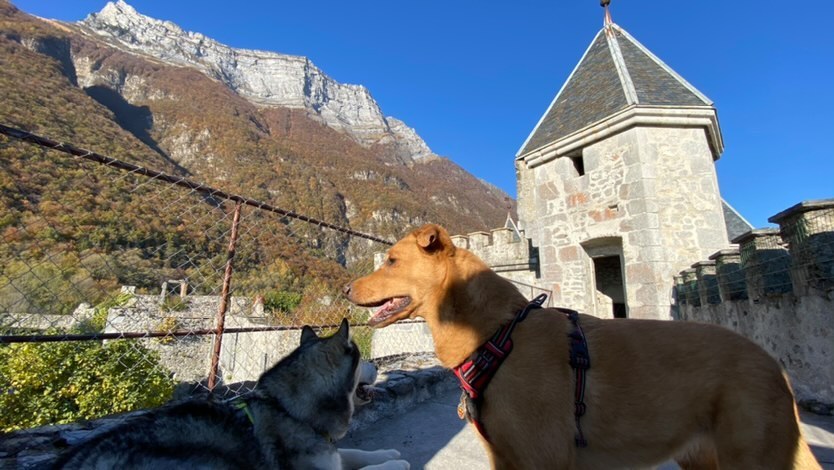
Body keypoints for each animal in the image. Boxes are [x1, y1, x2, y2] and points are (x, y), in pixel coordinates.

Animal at [55, 320, 410, 470]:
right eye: (362, 360)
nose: (378, 366)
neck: (287, 409)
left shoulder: (328, 453)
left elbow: (356, 454)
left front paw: (387, 453)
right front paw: (395, 463)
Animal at [344, 225, 820, 470]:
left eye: (392, 261)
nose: (346, 287)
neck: (499, 334)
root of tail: (771, 362)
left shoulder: (545, 459)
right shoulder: (506, 458)